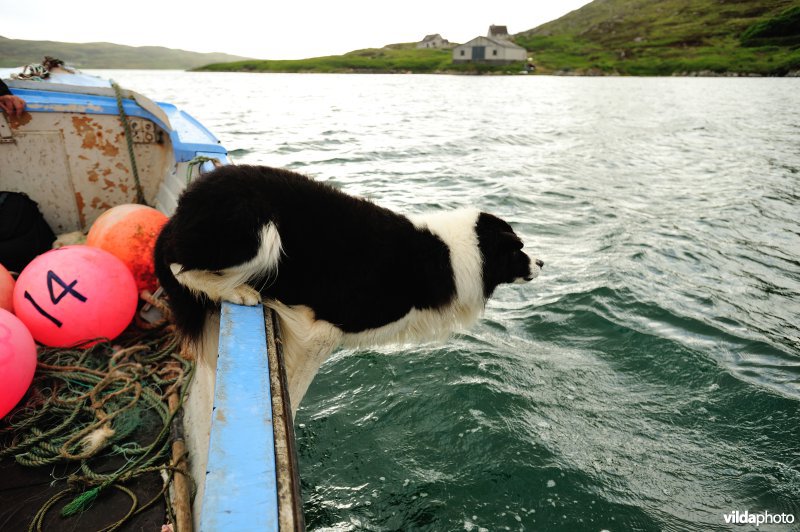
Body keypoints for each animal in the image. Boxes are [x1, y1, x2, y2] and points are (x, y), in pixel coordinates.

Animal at [155, 165, 544, 412]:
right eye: (518, 249)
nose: (542, 263)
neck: (445, 255)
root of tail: (183, 206)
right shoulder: (321, 330)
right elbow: (294, 392)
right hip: (259, 227)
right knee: (179, 267)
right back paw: (237, 291)